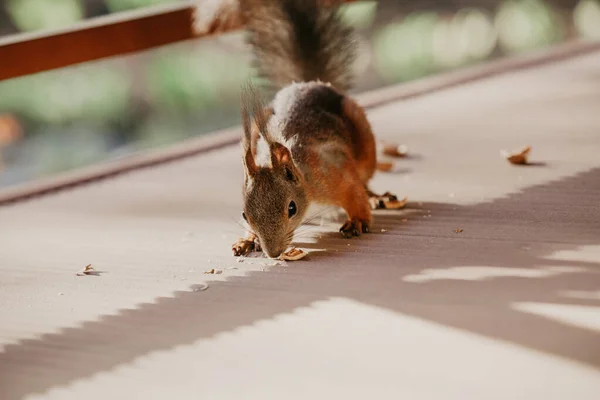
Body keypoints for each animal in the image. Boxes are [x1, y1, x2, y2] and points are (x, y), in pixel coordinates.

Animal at [233, 0, 398, 260]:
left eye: (292, 208)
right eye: (244, 215)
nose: (273, 253)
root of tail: (310, 82)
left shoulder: (331, 173)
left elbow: (354, 192)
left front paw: (358, 220)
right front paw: (247, 239)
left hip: (364, 146)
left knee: (363, 180)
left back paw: (375, 196)